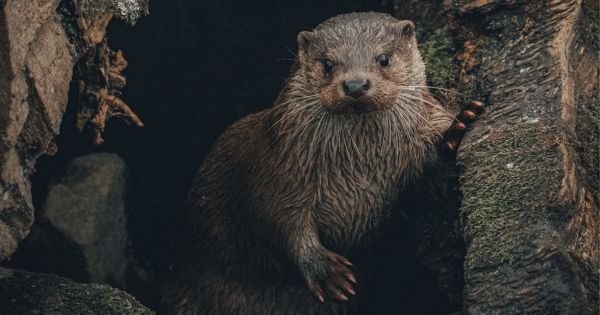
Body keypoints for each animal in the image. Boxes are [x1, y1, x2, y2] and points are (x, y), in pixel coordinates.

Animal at [161, 12, 482, 315]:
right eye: (328, 63)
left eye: (383, 58)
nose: (355, 83)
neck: (361, 172)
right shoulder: (279, 171)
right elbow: (278, 220)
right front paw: (325, 271)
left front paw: (458, 127)